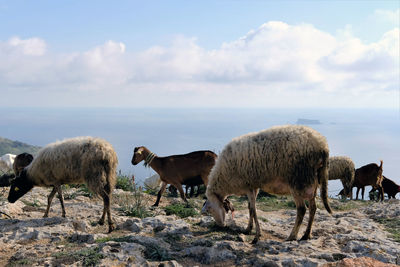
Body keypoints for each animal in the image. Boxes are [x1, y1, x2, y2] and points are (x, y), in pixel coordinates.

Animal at [202, 125, 332, 245]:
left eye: (209, 210)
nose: (221, 226)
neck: (224, 178)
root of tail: (323, 145)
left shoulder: (248, 185)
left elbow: (253, 210)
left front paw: (256, 237)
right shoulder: (254, 186)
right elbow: (250, 208)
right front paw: (248, 229)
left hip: (297, 181)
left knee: (302, 209)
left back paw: (292, 236)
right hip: (313, 180)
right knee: (313, 207)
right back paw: (306, 235)